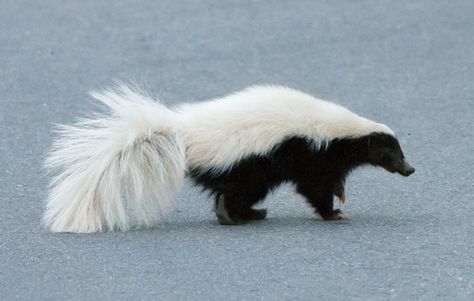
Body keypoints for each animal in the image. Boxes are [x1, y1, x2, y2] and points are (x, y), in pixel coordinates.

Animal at [44, 84, 414, 232]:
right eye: (391, 152)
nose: (410, 168)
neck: (341, 131)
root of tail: (185, 135)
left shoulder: (326, 156)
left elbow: (331, 181)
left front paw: (340, 200)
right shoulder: (311, 151)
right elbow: (314, 188)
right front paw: (334, 213)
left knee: (230, 194)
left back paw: (248, 215)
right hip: (247, 166)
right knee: (232, 194)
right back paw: (238, 217)